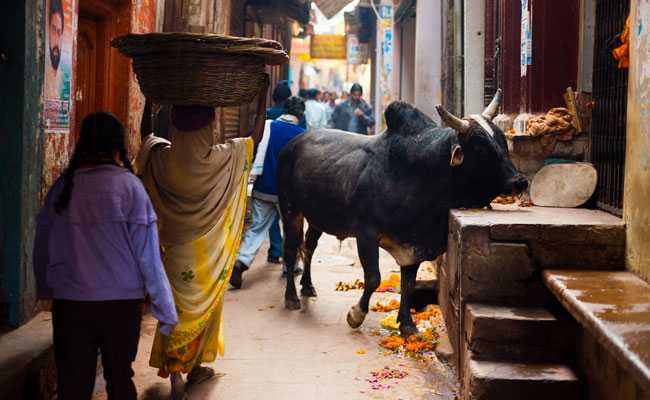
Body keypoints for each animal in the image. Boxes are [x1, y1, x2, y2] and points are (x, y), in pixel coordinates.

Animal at [277, 90, 528, 337]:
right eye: (480, 148)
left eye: (502, 140)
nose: (520, 182)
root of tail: (294, 143)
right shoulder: (366, 234)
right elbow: (373, 278)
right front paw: (356, 315)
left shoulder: (413, 243)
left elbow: (409, 284)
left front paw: (407, 325)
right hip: (290, 208)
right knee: (291, 248)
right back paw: (291, 297)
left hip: (316, 218)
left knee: (309, 247)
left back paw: (308, 286)